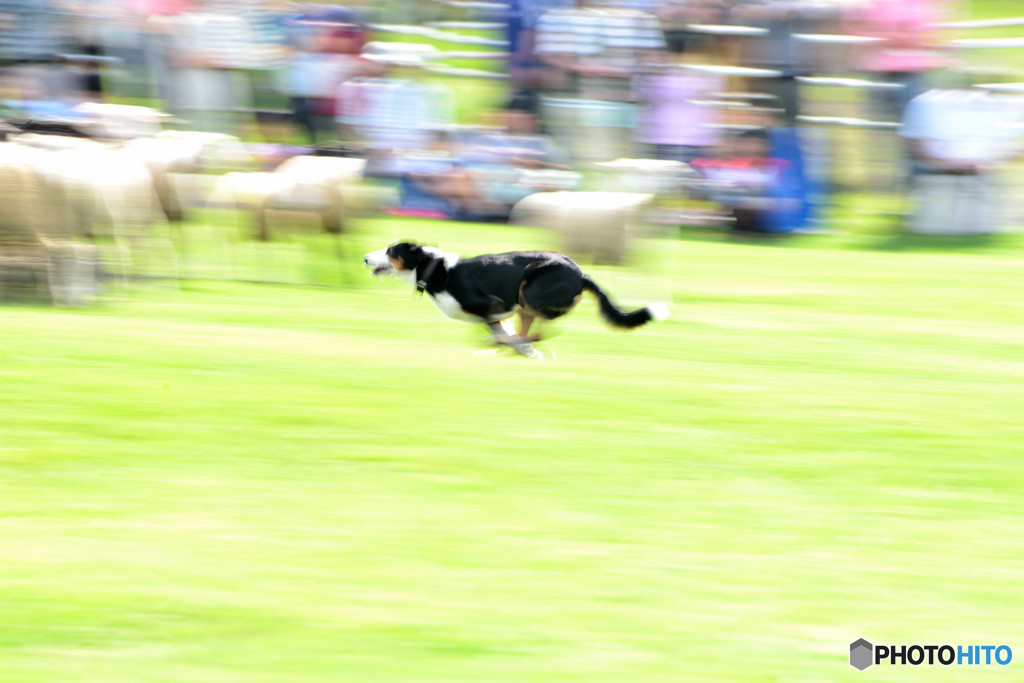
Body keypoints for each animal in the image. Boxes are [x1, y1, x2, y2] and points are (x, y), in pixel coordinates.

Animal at [364, 241, 667, 358]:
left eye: (391, 251)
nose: (366, 257)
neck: (436, 269)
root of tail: (582, 274)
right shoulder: (496, 316)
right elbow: (500, 333)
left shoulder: (493, 306)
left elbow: (499, 334)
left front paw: (504, 347)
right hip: (527, 303)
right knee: (533, 331)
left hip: (529, 289)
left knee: (541, 331)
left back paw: (519, 348)